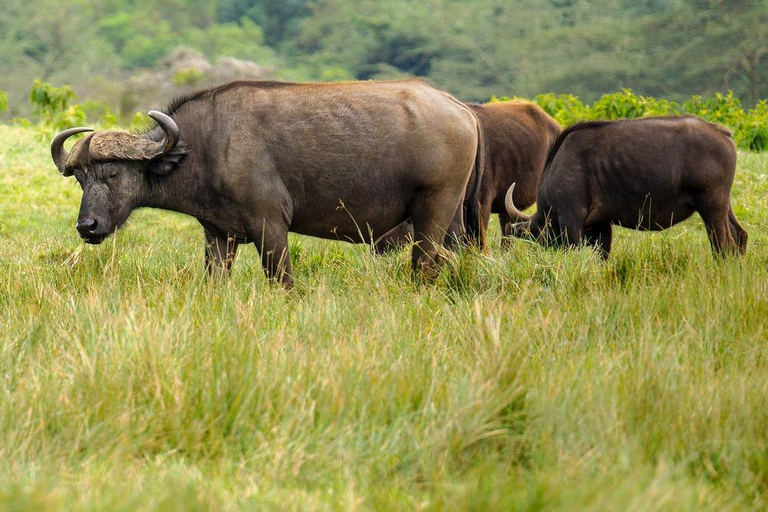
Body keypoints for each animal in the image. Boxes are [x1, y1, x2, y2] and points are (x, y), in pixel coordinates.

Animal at [52, 80, 486, 288]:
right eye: (80, 178)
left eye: (113, 173)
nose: (86, 226)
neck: (206, 147)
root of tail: (463, 110)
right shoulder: (218, 236)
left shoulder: (270, 227)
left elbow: (283, 281)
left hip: (432, 212)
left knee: (424, 264)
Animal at [508, 117, 748, 258]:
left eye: (538, 235)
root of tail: (720, 131)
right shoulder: (601, 226)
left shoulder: (571, 218)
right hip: (723, 205)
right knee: (740, 236)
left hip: (711, 205)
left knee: (724, 244)